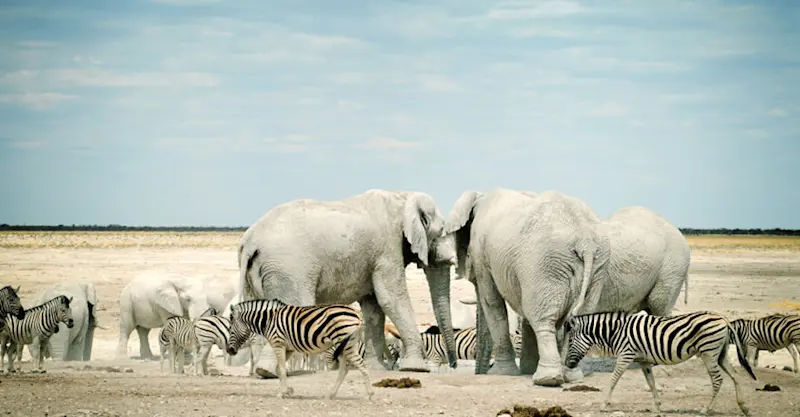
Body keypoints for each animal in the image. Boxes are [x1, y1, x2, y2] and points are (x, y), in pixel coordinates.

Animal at [226, 299, 373, 400]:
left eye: (230, 329)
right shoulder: (288, 349)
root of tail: (356, 312)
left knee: (361, 364)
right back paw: (330, 394)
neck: (268, 321)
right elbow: (279, 370)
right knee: (344, 370)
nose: (229, 351)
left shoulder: (278, 344)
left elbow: (282, 370)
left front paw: (282, 393)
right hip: (343, 346)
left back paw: (369, 394)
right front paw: (288, 390)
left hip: (346, 344)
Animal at [238, 189, 458, 373]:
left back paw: (260, 372)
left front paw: (376, 369)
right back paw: (267, 372)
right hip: (289, 268)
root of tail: (250, 241)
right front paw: (415, 369)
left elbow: (374, 308)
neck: (402, 197)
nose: (454, 365)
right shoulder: (387, 249)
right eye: (441, 232)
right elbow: (391, 299)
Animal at [446, 188, 610, 387]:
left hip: (545, 263)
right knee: (578, 318)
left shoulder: (482, 254)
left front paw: (502, 373)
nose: (479, 373)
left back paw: (547, 379)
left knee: (542, 318)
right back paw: (571, 376)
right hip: (596, 267)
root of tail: (585, 242)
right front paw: (526, 369)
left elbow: (492, 303)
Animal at [564, 311, 756, 416]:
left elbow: (613, 380)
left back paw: (705, 410)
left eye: (570, 341)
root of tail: (723, 318)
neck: (615, 332)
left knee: (718, 380)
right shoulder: (643, 361)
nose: (567, 364)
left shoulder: (626, 355)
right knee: (735, 376)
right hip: (720, 354)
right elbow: (651, 382)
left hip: (708, 353)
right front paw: (657, 406)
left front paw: (604, 404)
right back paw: (744, 407)